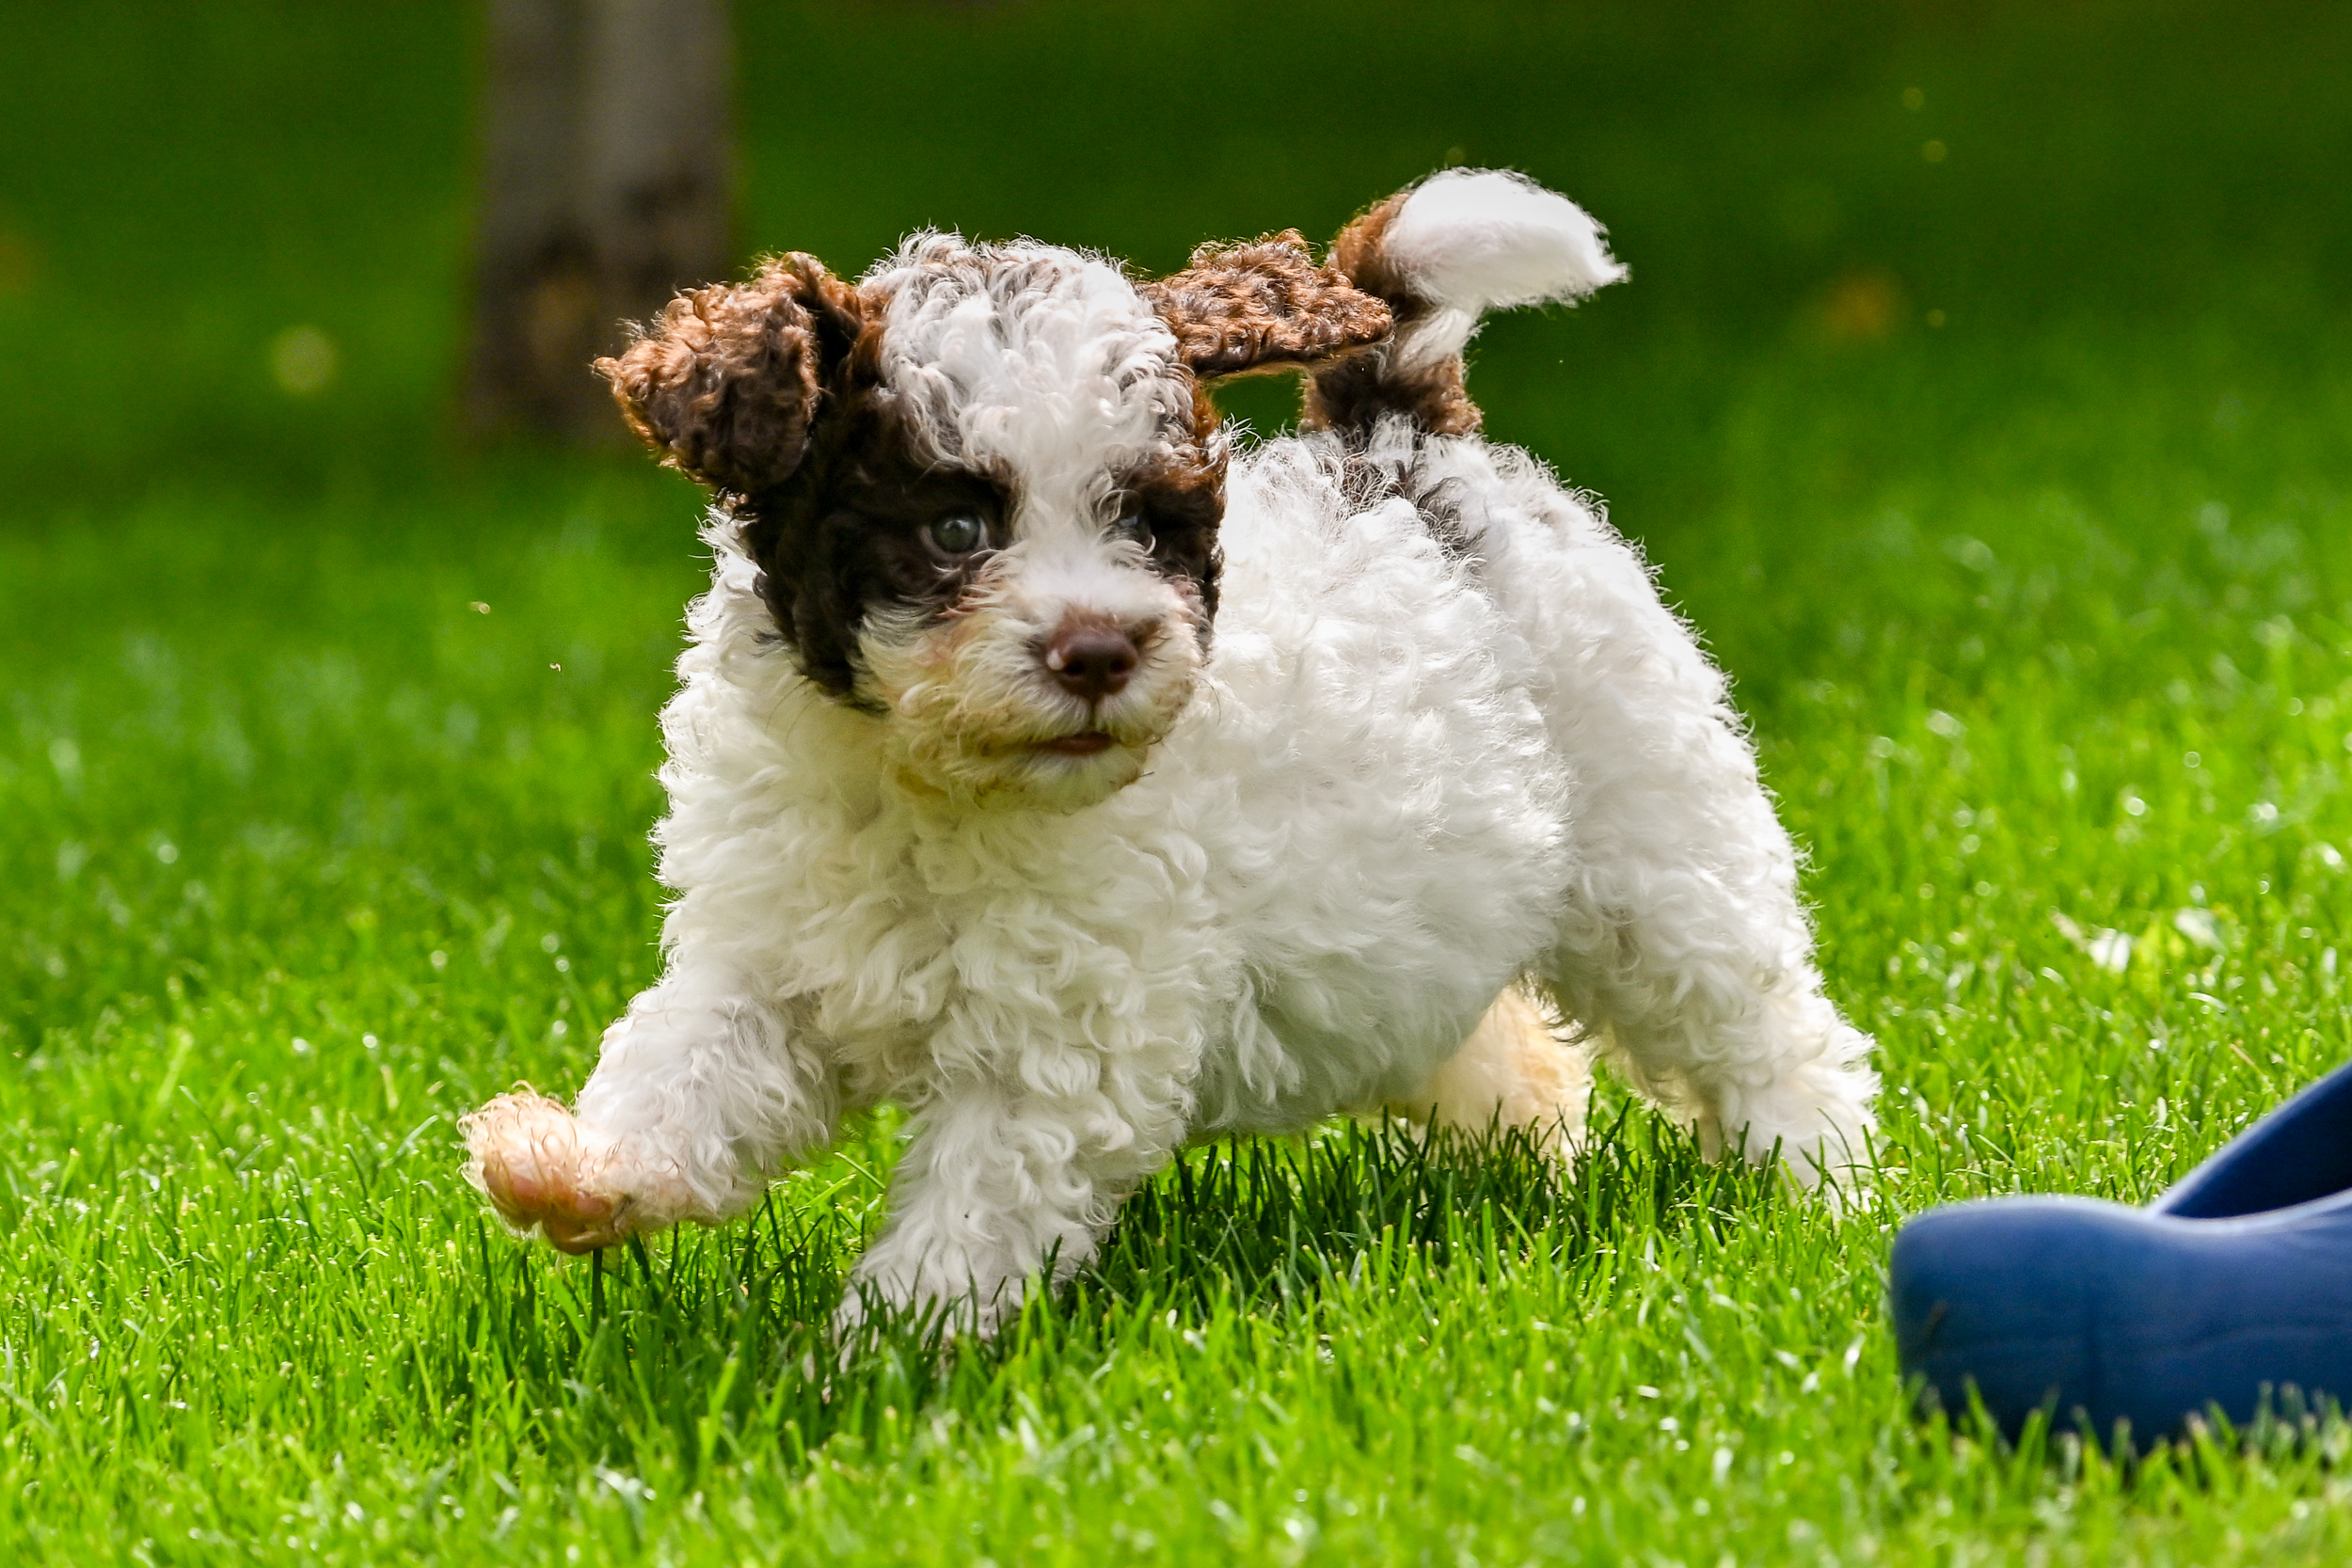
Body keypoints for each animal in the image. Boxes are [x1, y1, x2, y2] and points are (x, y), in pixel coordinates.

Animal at [468, 171, 1882, 1335]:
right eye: (953, 526)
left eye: (1149, 526)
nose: (1100, 647)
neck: (932, 784)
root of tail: (1404, 442)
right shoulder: (768, 958)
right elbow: (688, 1069)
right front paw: (580, 1172)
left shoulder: (1056, 1061)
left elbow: (965, 1222)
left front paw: (869, 1368)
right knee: (1498, 1032)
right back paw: (1517, 1151)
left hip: (1653, 836)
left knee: (1764, 1023)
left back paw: (1819, 1186)